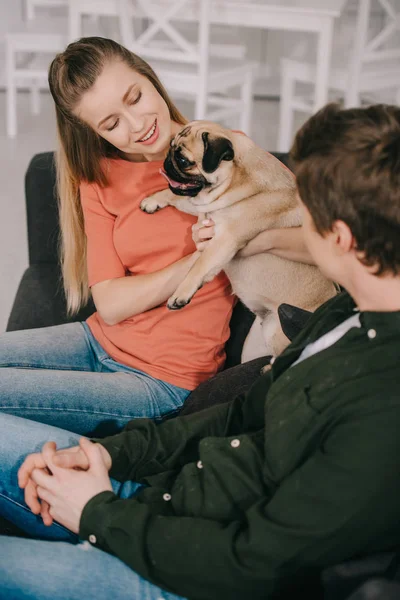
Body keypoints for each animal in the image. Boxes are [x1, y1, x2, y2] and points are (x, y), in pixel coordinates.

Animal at [139, 119, 336, 358]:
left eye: (184, 161)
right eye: (170, 147)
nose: (168, 162)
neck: (236, 180)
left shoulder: (225, 240)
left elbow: (199, 267)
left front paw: (180, 295)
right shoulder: (206, 208)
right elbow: (173, 194)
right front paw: (152, 200)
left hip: (276, 330)